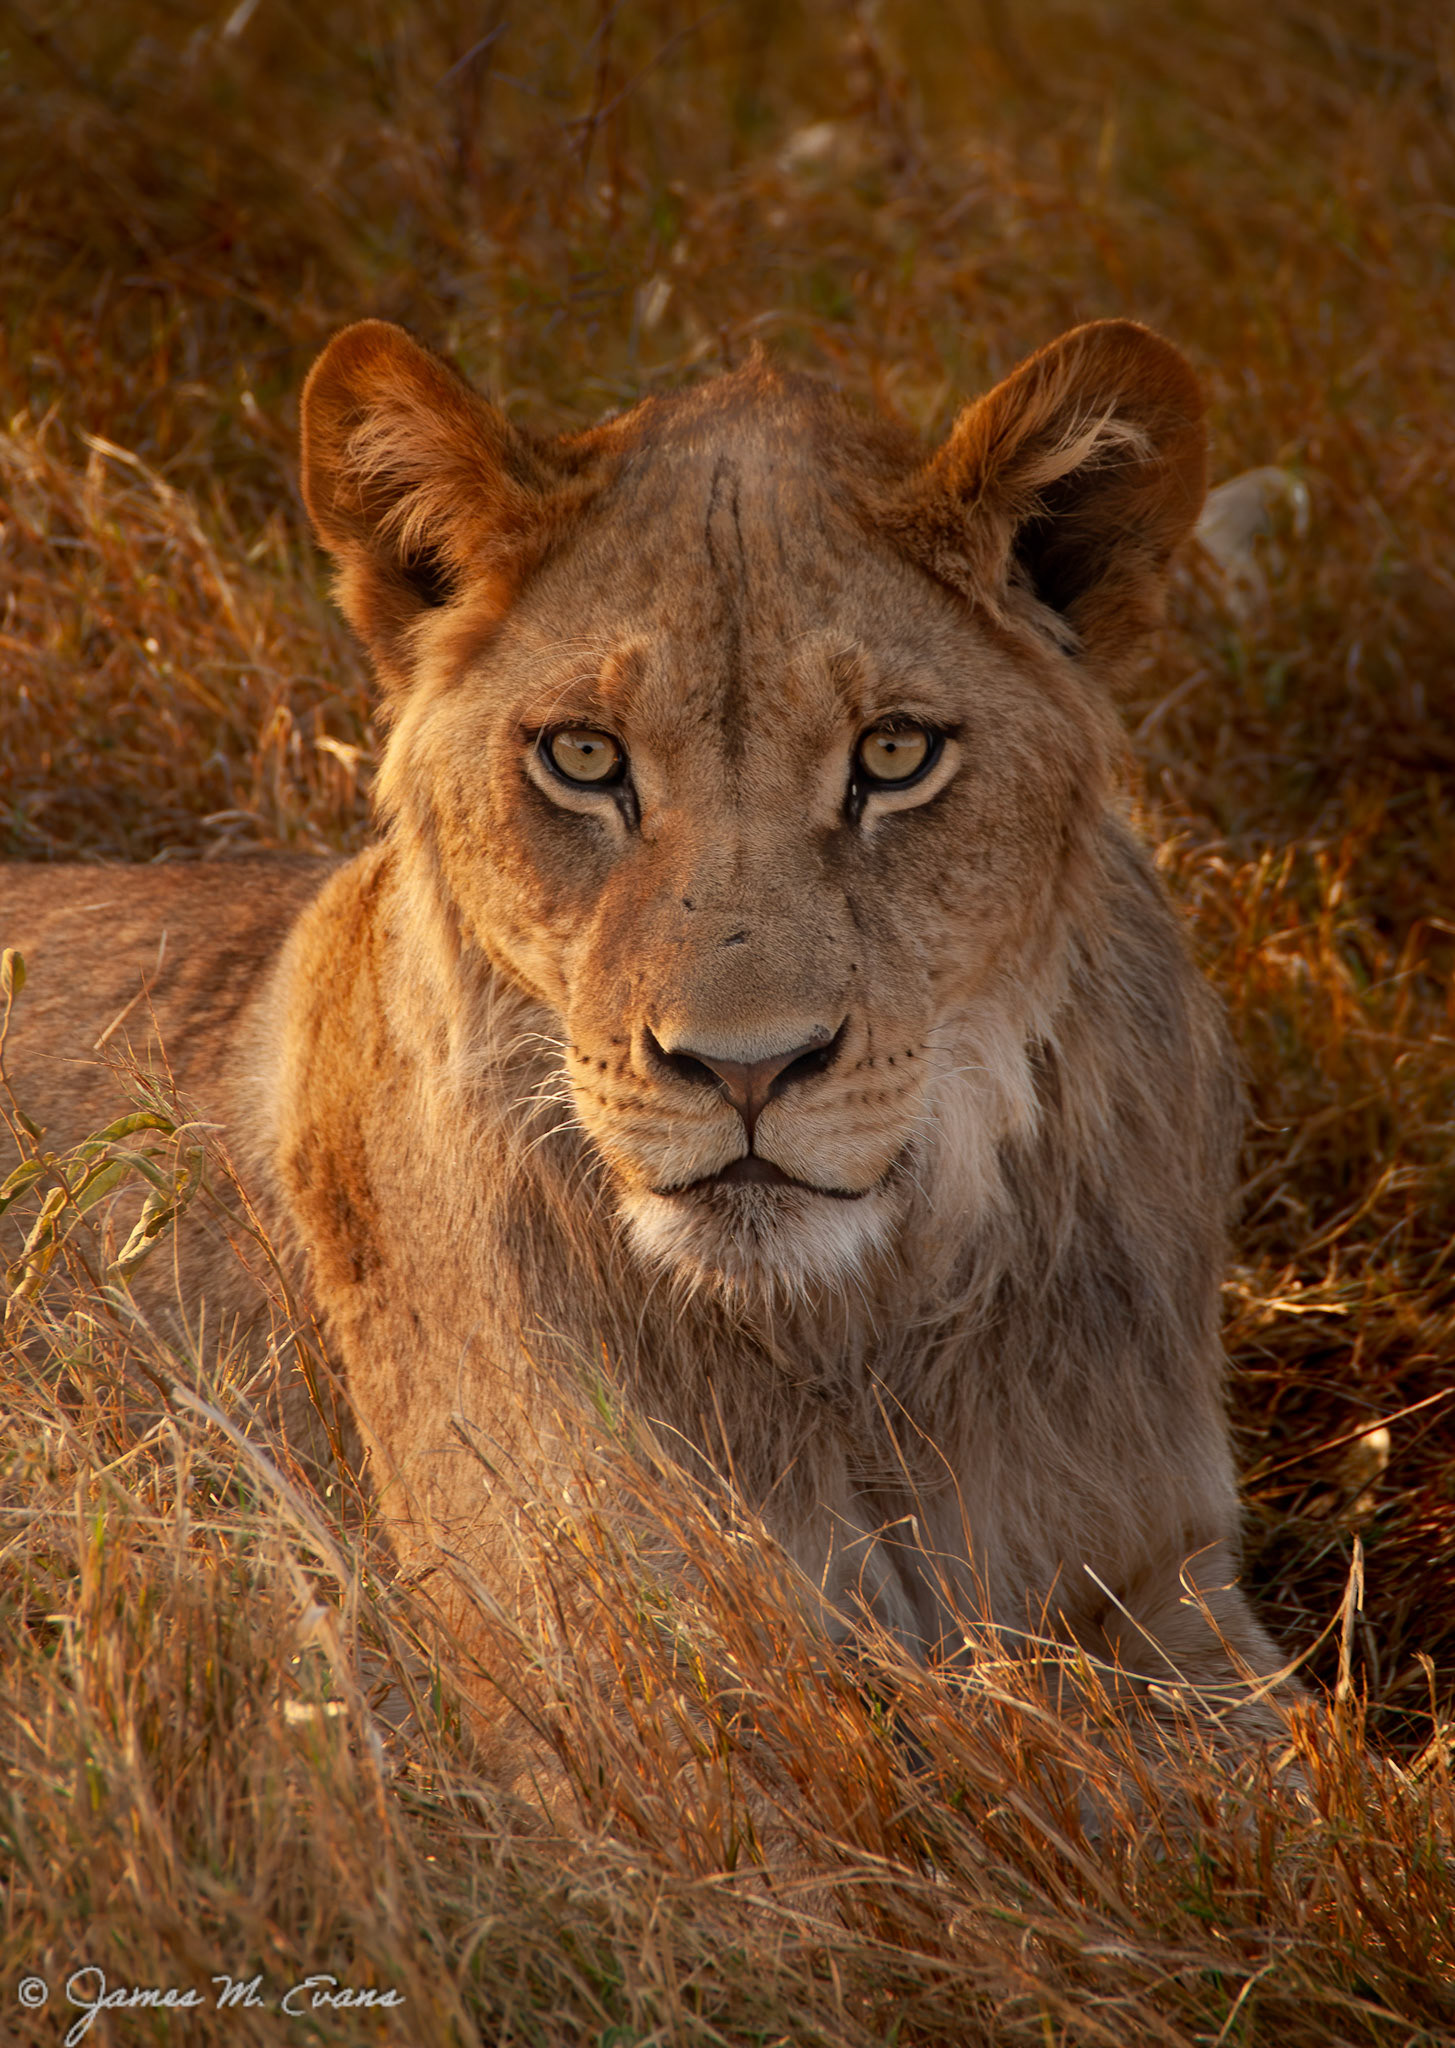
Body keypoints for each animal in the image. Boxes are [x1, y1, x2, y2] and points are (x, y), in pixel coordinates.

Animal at [2, 317, 1293, 1733]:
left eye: (895, 754)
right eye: (582, 756)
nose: (747, 1069)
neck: (842, 1339)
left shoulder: (1171, 1578)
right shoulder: (595, 1652)